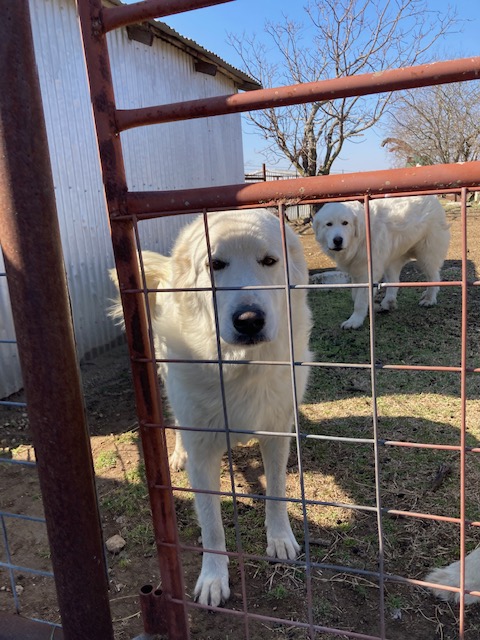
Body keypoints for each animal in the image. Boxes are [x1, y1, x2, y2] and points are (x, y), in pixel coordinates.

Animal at [110, 209, 312, 607]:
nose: (249, 320)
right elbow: (212, 524)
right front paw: (214, 577)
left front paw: (280, 539)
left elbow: (277, 491)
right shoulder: (203, 454)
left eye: (269, 261)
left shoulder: (277, 433)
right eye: (215, 264)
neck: (239, 364)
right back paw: (177, 454)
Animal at [312, 196, 450, 329]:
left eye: (345, 223)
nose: (337, 240)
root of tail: (433, 198)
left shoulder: (367, 273)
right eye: (329, 224)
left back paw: (429, 299)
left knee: (434, 277)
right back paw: (388, 303)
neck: (361, 236)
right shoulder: (356, 271)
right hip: (392, 260)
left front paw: (355, 321)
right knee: (394, 281)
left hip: (426, 256)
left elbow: (360, 301)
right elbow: (355, 295)